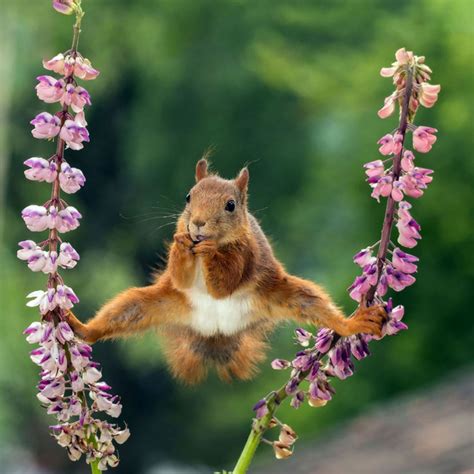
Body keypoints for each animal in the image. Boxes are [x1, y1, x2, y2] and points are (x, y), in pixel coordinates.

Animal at [66, 161, 386, 384]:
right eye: (188, 197)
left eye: (230, 205)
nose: (197, 224)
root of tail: (216, 331)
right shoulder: (180, 274)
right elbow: (181, 276)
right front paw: (182, 243)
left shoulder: (246, 255)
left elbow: (225, 284)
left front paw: (210, 252)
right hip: (152, 303)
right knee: (119, 314)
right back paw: (79, 326)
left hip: (285, 294)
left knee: (316, 306)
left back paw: (354, 322)